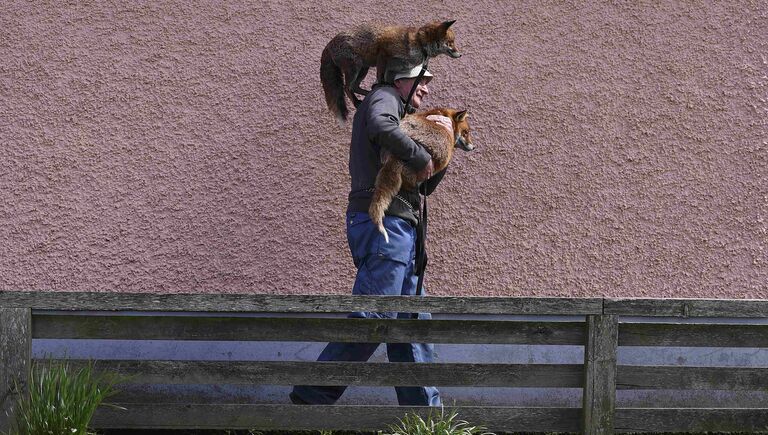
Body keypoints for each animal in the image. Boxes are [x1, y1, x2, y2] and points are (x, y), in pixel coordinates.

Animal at [320, 20, 460, 122]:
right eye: (450, 43)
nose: (460, 55)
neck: (419, 44)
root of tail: (329, 44)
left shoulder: (393, 69)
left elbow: (393, 86)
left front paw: (405, 104)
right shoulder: (383, 54)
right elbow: (381, 78)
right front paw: (381, 87)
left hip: (363, 70)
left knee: (355, 87)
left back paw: (366, 94)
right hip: (355, 67)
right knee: (346, 87)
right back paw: (356, 102)